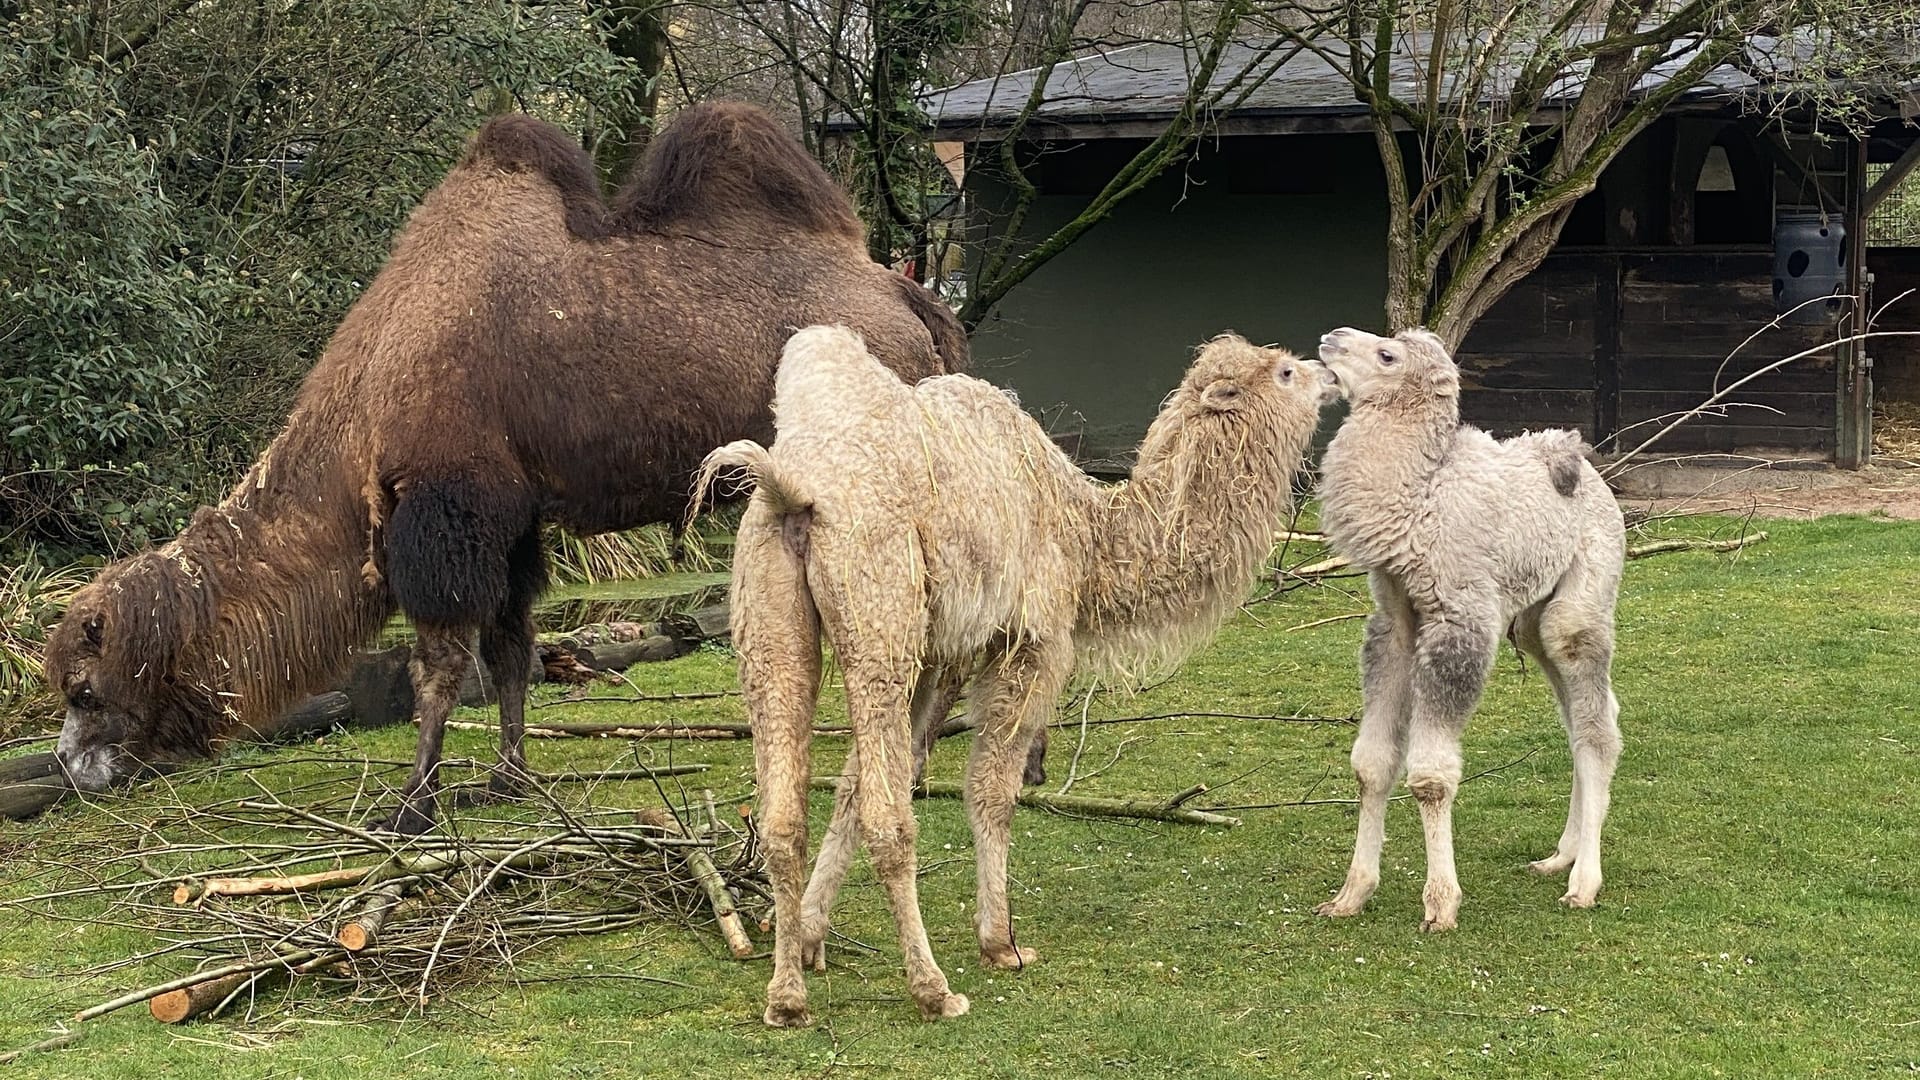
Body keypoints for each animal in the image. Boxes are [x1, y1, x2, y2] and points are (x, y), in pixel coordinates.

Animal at [41, 100, 975, 834]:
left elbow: (441, 664)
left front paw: (411, 805)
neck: (367, 402)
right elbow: (511, 646)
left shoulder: (447, 506)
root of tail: (916, 305)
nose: (70, 768)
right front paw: (505, 780)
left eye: (83, 690)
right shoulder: (512, 514)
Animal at [706, 322, 1336, 1022]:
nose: (1328, 371)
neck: (1087, 535)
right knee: (888, 817)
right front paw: (1001, 944)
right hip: (879, 615)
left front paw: (814, 938)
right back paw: (933, 989)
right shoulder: (1027, 641)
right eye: (1283, 372)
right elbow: (991, 791)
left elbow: (849, 786)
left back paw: (786, 997)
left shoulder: (942, 654)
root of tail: (790, 492)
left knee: (785, 812)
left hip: (771, 623)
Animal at [1313, 322, 1628, 930]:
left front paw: (1440, 904)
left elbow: (1431, 777)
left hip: (1582, 598)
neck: (1419, 500)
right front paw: (1350, 894)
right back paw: (1559, 857)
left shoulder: (1459, 622)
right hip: (1531, 619)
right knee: (1579, 719)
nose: (1331, 337)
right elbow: (1371, 764)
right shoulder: (1395, 623)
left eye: (1387, 354)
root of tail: (1587, 472)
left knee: (1597, 725)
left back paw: (1584, 883)